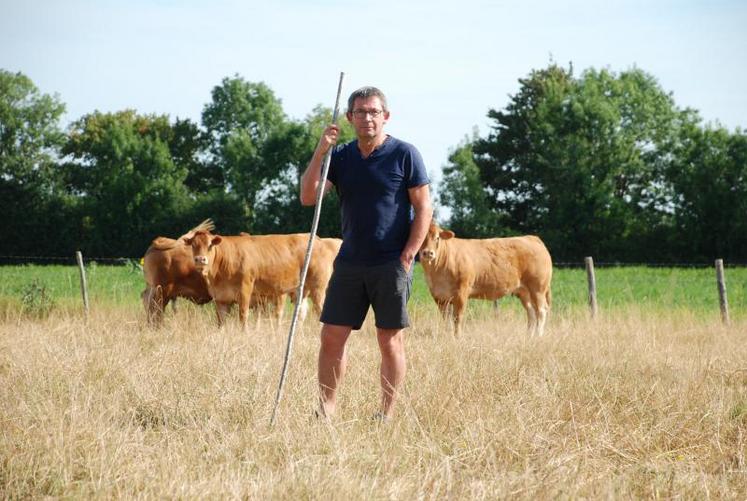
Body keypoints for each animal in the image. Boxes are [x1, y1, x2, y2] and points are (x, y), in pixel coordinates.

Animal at [186, 230, 338, 328]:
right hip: (300, 291)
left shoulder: (245, 291)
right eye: (193, 245)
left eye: (210, 245)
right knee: (300, 313)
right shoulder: (220, 298)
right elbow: (221, 322)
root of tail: (319, 240)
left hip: (318, 289)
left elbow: (243, 316)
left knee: (320, 311)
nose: (200, 259)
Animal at [418, 223, 552, 336]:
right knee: (531, 312)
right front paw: (448, 337)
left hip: (538, 288)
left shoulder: (461, 293)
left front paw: (458, 338)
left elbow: (457, 318)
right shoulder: (439, 297)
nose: (428, 253)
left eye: (437, 238)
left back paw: (538, 336)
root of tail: (532, 238)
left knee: (541, 311)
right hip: (524, 292)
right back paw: (529, 337)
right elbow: (447, 321)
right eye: (421, 238)